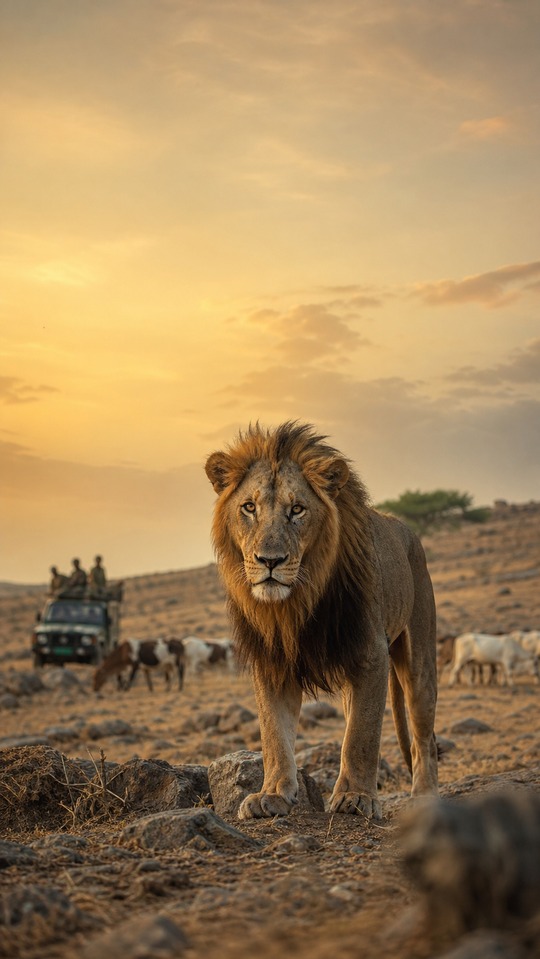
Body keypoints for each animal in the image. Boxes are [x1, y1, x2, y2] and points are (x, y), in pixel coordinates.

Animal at [205, 422, 438, 820]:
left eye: (297, 509)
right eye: (249, 507)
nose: (270, 560)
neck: (294, 603)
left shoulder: (370, 654)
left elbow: (361, 735)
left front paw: (355, 796)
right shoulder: (272, 661)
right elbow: (274, 735)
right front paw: (272, 794)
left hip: (419, 660)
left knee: (423, 734)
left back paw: (425, 797)